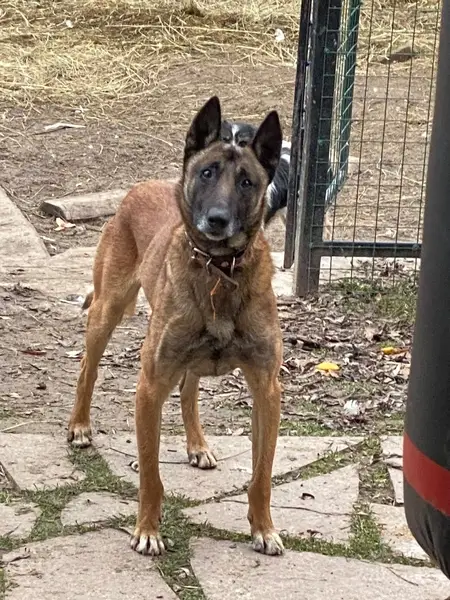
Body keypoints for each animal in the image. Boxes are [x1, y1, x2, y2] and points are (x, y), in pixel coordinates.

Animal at [68, 96, 285, 557]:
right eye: (207, 173)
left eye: (247, 182)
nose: (217, 220)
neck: (220, 270)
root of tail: (139, 186)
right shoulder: (150, 386)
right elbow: (150, 474)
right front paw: (148, 530)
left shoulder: (267, 390)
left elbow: (262, 474)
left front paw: (263, 528)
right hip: (107, 312)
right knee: (88, 368)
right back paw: (78, 426)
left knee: (188, 390)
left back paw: (197, 445)